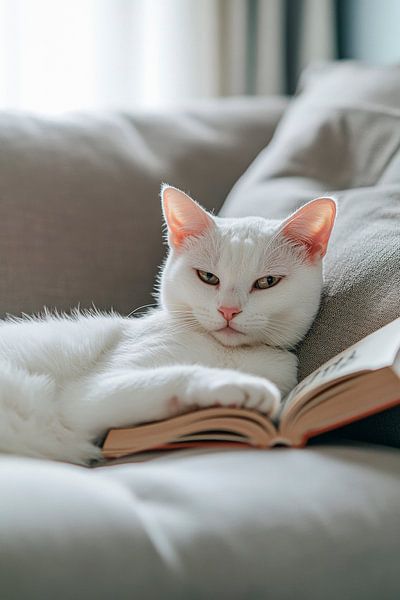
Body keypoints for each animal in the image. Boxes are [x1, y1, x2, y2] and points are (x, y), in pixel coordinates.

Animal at [0, 186, 336, 464]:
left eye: (267, 282)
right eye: (208, 277)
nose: (228, 310)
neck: (228, 354)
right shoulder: (89, 394)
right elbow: (175, 374)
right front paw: (240, 385)